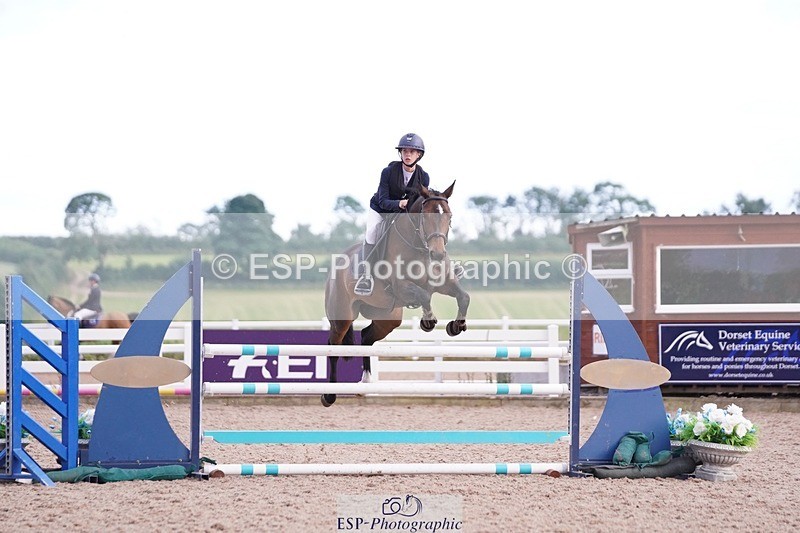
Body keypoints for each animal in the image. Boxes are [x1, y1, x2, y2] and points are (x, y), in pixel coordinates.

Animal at [322, 181, 470, 406]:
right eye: (425, 217)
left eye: (449, 216)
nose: (437, 254)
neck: (420, 248)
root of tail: (336, 265)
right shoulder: (402, 287)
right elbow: (424, 296)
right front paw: (428, 321)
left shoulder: (445, 284)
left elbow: (463, 297)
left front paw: (456, 326)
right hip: (342, 316)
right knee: (333, 346)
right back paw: (329, 395)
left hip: (387, 317)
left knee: (366, 337)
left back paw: (366, 382)